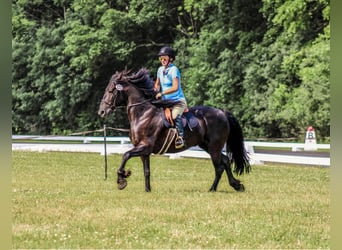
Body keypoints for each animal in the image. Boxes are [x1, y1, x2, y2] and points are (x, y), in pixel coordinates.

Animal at [97, 68, 250, 191]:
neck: (143, 114)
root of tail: (222, 112)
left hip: (214, 147)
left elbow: (126, 155)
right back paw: (235, 185)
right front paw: (147, 190)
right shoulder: (144, 151)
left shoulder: (145, 146)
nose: (102, 112)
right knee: (225, 161)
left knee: (219, 166)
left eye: (111, 90)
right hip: (207, 145)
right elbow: (146, 171)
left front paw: (122, 179)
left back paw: (213, 189)